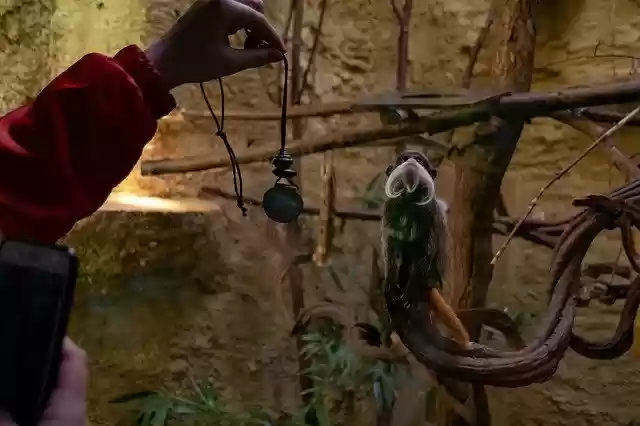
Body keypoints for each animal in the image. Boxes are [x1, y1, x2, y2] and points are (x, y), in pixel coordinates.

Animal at [381, 150, 471, 348]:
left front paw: (409, 296)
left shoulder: (429, 212)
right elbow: (392, 247)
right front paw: (391, 287)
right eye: (403, 159)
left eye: (420, 161)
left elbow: (426, 251)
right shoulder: (390, 207)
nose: (411, 162)